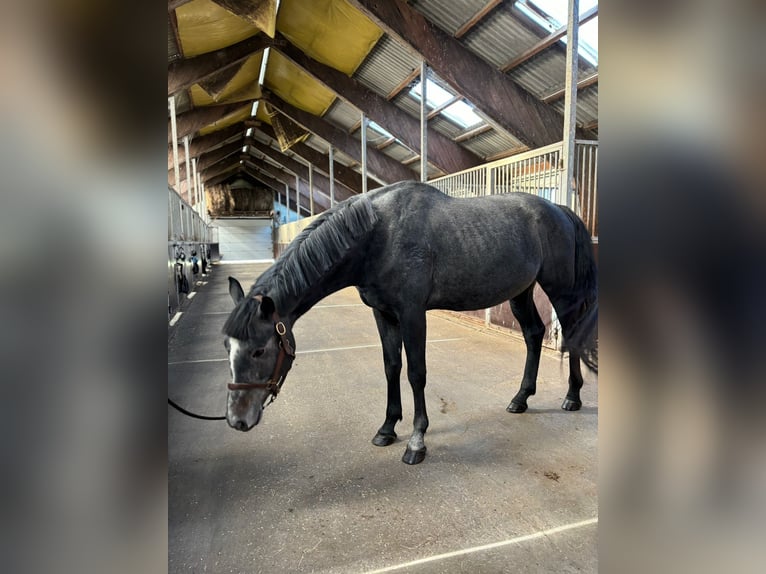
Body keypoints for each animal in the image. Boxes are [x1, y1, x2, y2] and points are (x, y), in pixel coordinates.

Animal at [222, 182, 600, 466]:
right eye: (227, 346)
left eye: (259, 350)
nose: (237, 420)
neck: (378, 236)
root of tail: (561, 210)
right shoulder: (384, 313)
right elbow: (392, 367)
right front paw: (387, 429)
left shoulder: (412, 313)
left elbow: (416, 372)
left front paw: (416, 441)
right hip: (521, 292)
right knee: (534, 334)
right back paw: (520, 399)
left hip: (561, 290)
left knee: (572, 333)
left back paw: (572, 397)